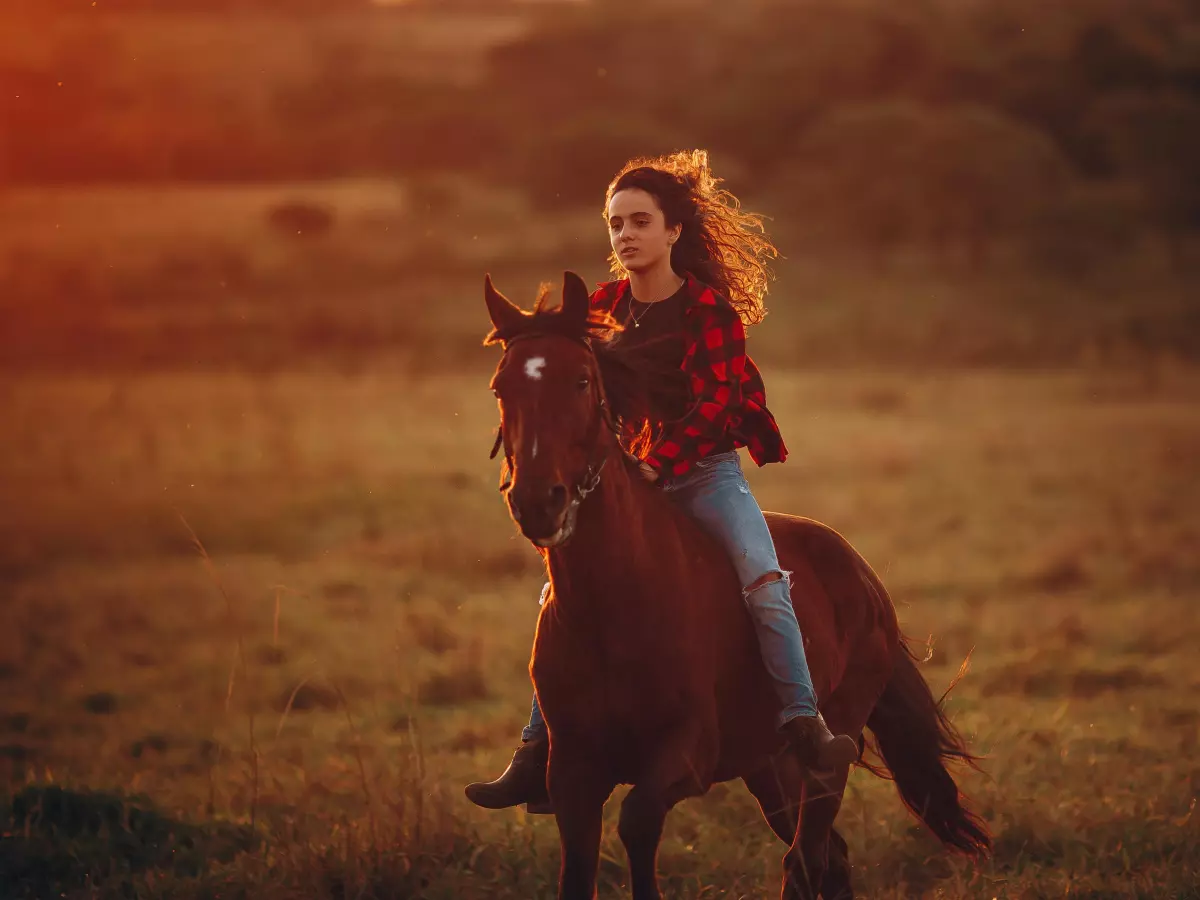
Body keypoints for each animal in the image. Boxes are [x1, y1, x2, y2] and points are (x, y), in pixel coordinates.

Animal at [482, 271, 988, 897]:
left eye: (580, 380)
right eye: (501, 388)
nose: (536, 501)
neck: (617, 602)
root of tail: (865, 579)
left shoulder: (688, 752)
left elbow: (639, 824)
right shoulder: (571, 771)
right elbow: (578, 870)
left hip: (828, 753)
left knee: (806, 856)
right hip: (769, 767)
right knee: (830, 856)